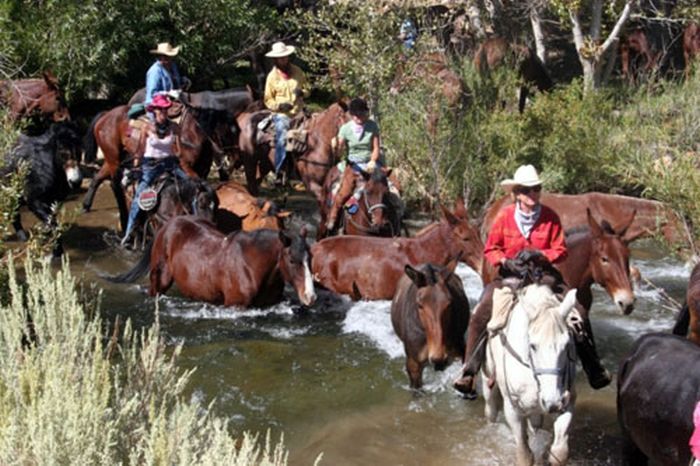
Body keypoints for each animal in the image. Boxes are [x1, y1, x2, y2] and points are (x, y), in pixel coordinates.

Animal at [108, 217, 316, 308]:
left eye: (310, 258)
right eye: (292, 260)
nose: (310, 296)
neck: (251, 267)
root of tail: (165, 227)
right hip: (159, 283)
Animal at [482, 284, 580, 466]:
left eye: (566, 345)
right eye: (533, 345)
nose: (553, 402)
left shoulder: (568, 401)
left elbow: (559, 451)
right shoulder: (512, 408)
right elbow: (524, 455)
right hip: (489, 383)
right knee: (490, 409)